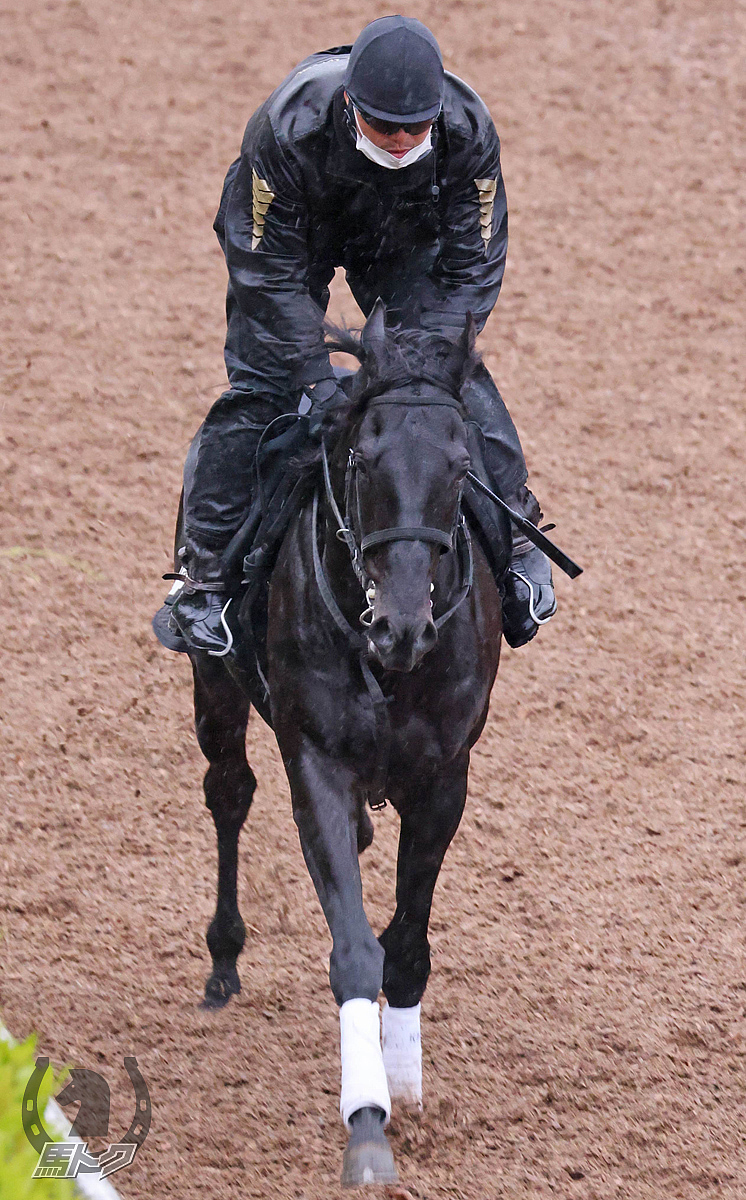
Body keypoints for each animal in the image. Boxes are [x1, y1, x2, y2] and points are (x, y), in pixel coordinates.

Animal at [182, 304, 508, 1185]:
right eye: (363, 460)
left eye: (461, 467)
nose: (402, 626)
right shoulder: (315, 761)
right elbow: (356, 949)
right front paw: (367, 1118)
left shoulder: (446, 775)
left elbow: (407, 944)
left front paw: (407, 1088)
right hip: (214, 683)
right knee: (228, 792)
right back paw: (223, 957)